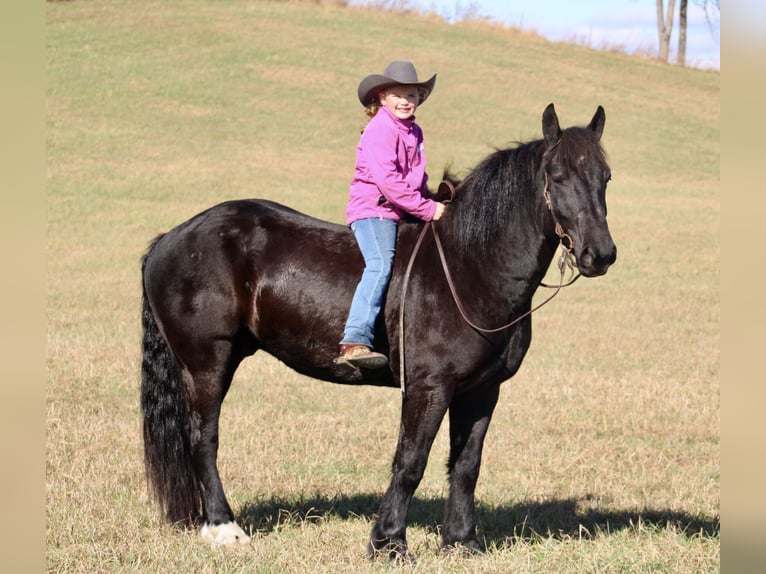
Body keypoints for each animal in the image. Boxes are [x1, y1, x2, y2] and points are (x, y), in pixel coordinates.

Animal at [140, 103, 616, 558]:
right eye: (557, 176)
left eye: (605, 178)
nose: (601, 255)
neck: (470, 267)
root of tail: (171, 238)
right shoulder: (428, 387)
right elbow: (410, 463)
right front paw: (389, 543)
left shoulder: (482, 390)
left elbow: (466, 467)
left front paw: (461, 542)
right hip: (207, 363)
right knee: (203, 440)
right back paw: (224, 528)